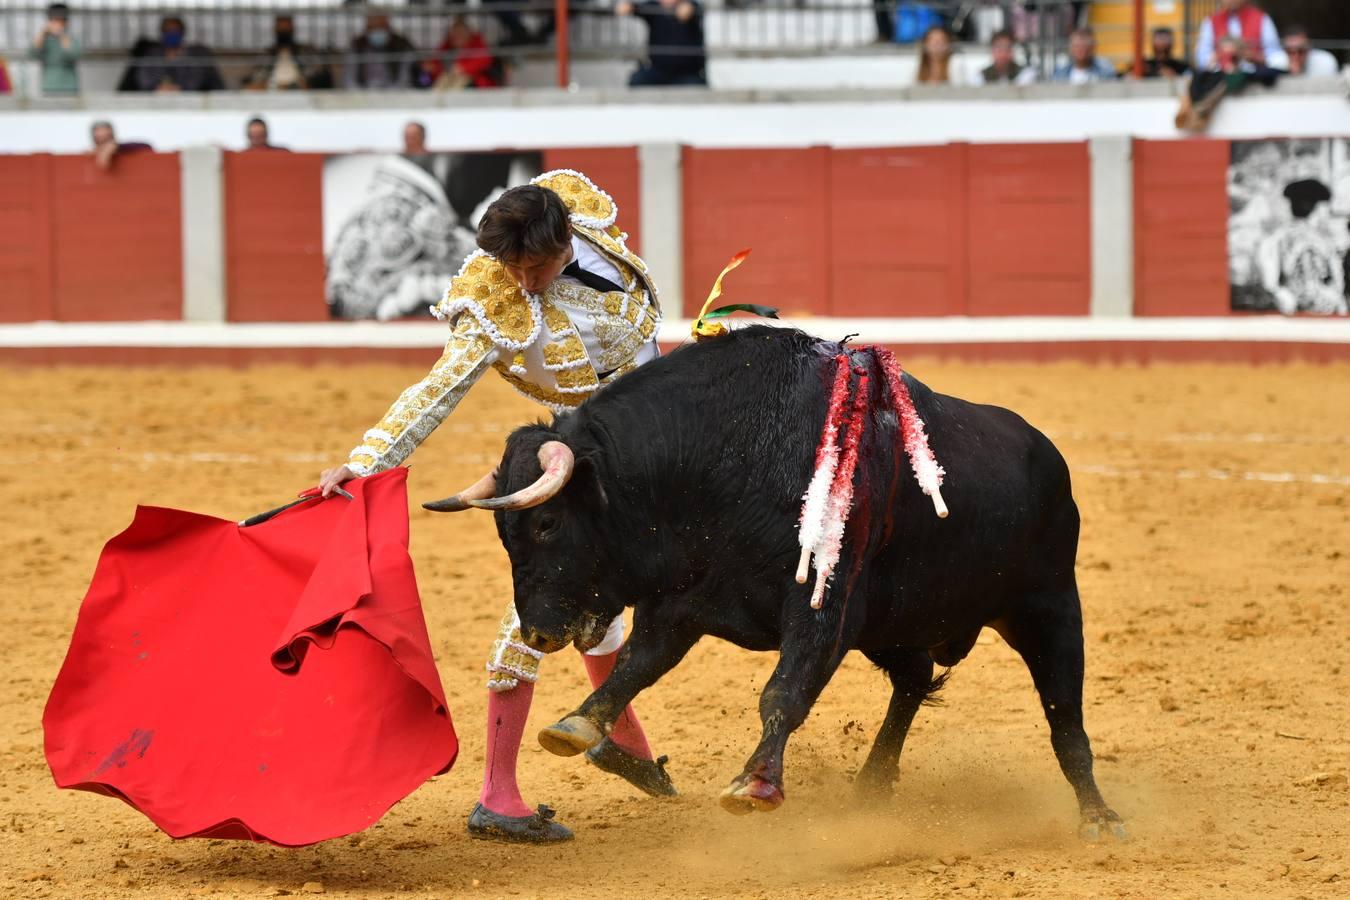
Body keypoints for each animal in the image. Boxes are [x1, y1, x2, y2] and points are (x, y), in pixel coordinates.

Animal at [426, 327, 1123, 841]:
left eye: (546, 523)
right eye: (504, 535)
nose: (540, 631)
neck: (716, 460)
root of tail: (1047, 454)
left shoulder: (824, 605)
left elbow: (784, 691)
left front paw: (756, 783)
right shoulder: (681, 602)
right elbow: (637, 666)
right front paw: (575, 724)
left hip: (1050, 607)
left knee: (1065, 717)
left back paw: (1098, 817)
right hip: (894, 626)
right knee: (915, 679)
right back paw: (873, 782)